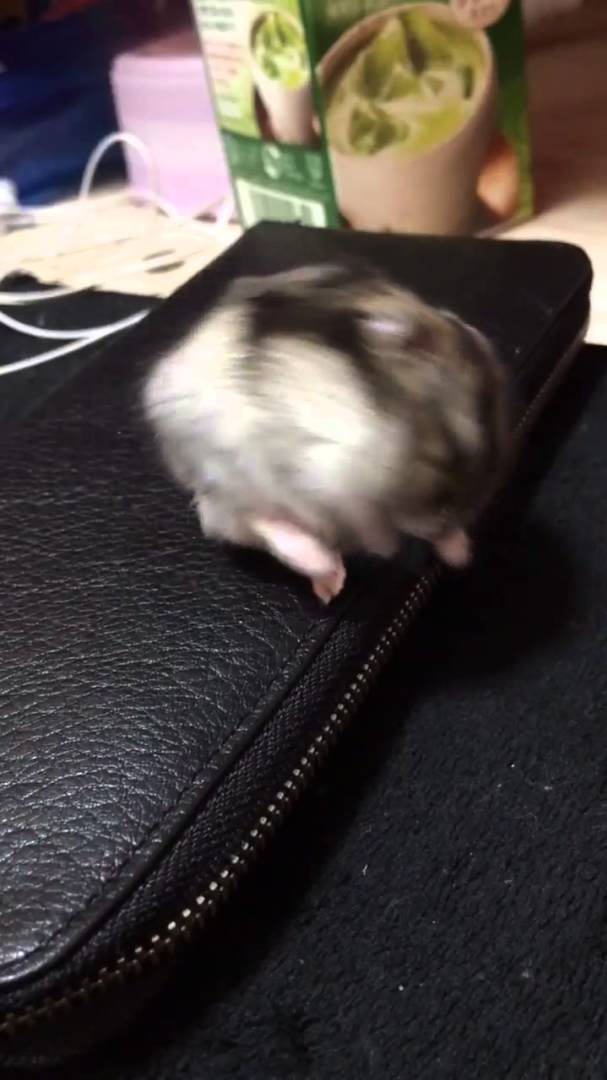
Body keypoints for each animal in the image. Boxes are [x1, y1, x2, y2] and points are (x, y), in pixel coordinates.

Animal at [142, 258, 509, 603]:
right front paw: (384, 549)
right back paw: (329, 574)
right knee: (252, 522)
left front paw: (458, 555)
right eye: (450, 450)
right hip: (226, 474)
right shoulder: (329, 469)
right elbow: (366, 520)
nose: (450, 524)